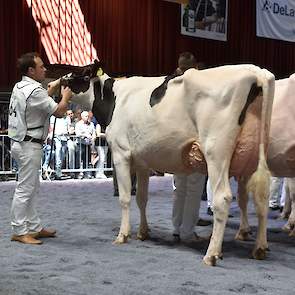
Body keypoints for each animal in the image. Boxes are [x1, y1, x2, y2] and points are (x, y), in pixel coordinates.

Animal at [46, 61, 276, 268]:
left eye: (79, 73)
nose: (52, 86)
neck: (114, 99)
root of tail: (256, 71)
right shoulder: (142, 161)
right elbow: (142, 198)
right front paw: (143, 232)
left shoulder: (121, 154)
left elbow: (125, 198)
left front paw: (123, 235)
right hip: (254, 155)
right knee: (261, 198)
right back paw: (260, 248)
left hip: (216, 151)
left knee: (223, 198)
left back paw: (211, 254)